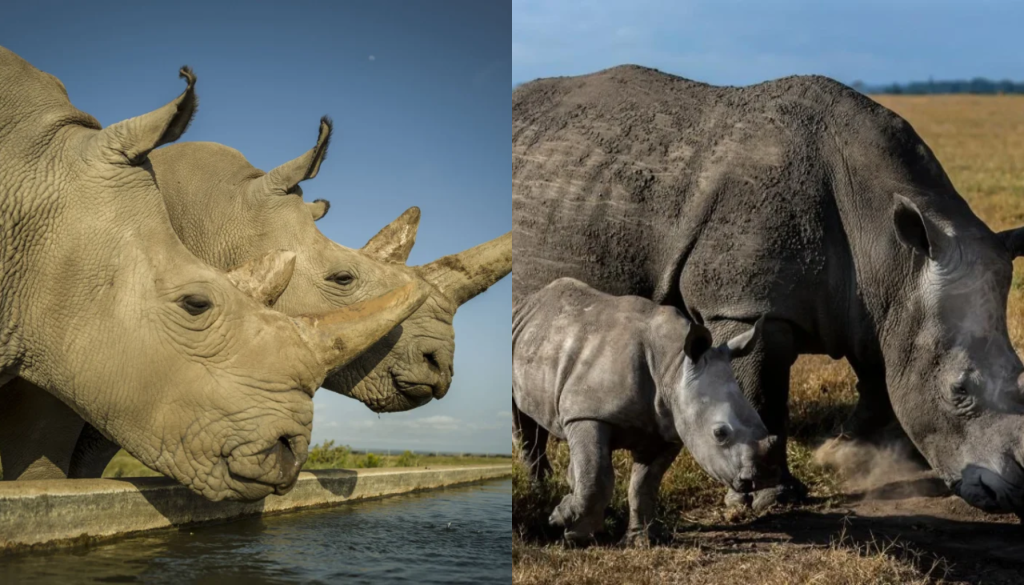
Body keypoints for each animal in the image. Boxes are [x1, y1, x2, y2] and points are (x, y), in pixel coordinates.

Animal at [0, 118, 511, 480]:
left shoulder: (149, 378)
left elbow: (87, 463)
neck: (205, 213)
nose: (438, 366)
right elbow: (41, 458)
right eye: (343, 278)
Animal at [512, 65, 1024, 514]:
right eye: (959, 390)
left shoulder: (880, 307)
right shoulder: (743, 306)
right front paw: (768, 498)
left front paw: (847, 457)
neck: (888, 251)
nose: (1013, 494)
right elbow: (759, 392)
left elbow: (881, 381)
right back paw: (537, 484)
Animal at [513, 278, 776, 543]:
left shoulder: (668, 427)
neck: (673, 366)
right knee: (525, 426)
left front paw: (641, 540)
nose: (759, 477)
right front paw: (570, 530)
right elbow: (597, 476)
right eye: (719, 433)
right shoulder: (587, 413)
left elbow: (644, 484)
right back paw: (542, 493)